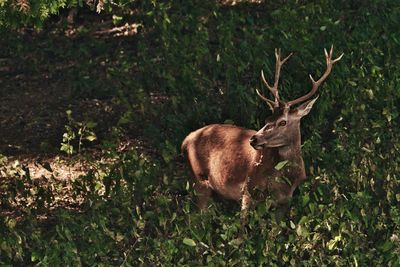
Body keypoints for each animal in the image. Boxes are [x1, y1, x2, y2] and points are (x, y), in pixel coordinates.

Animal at [181, 46, 344, 220]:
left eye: (283, 122)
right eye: (267, 118)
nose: (254, 139)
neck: (285, 180)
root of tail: (186, 140)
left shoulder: (285, 201)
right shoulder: (248, 189)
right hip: (199, 178)